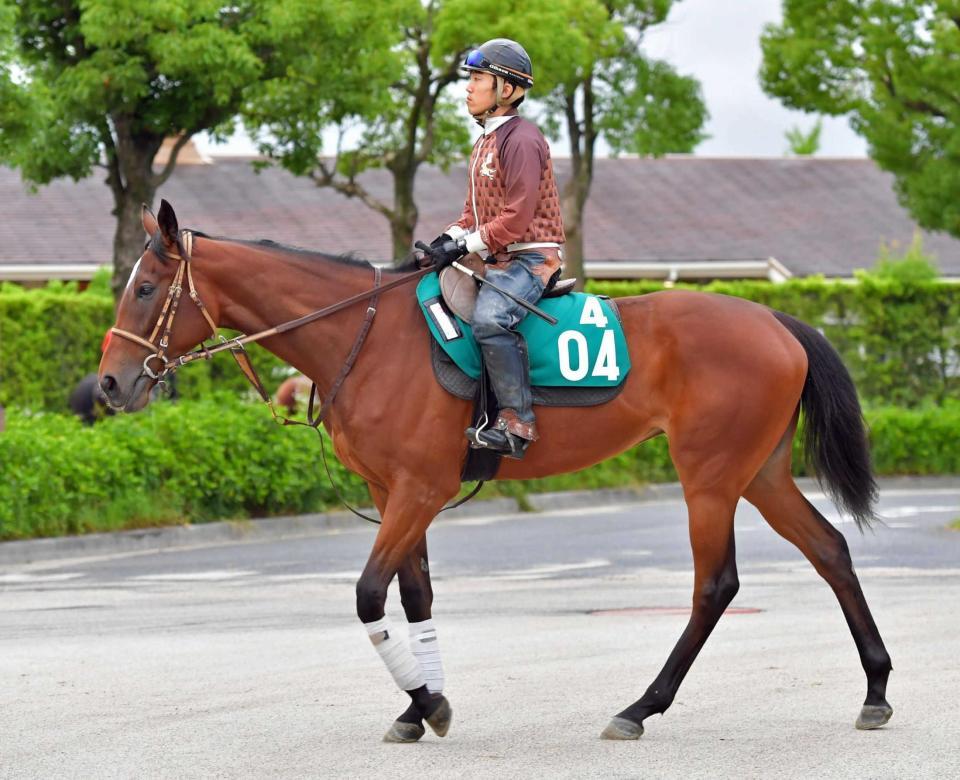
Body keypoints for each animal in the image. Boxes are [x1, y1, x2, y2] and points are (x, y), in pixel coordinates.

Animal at [97, 201, 892, 744]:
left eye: (144, 289)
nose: (107, 385)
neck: (366, 335)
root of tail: (776, 320)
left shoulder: (420, 490)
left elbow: (369, 594)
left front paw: (429, 704)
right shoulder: (392, 492)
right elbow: (414, 594)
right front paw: (417, 707)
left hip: (711, 476)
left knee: (715, 585)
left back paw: (640, 706)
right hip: (760, 472)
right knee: (830, 550)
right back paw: (876, 689)